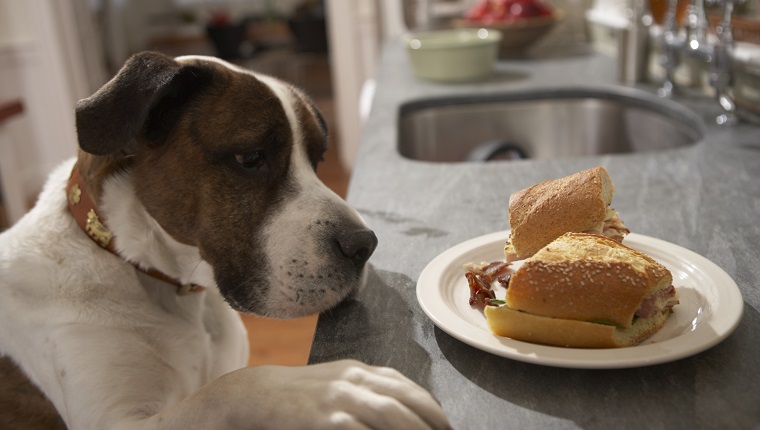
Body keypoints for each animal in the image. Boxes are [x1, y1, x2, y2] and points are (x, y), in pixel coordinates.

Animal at [0, 53, 452, 430]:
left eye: (317, 159)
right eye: (250, 159)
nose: (364, 245)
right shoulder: (114, 419)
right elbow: (227, 389)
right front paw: (332, 387)